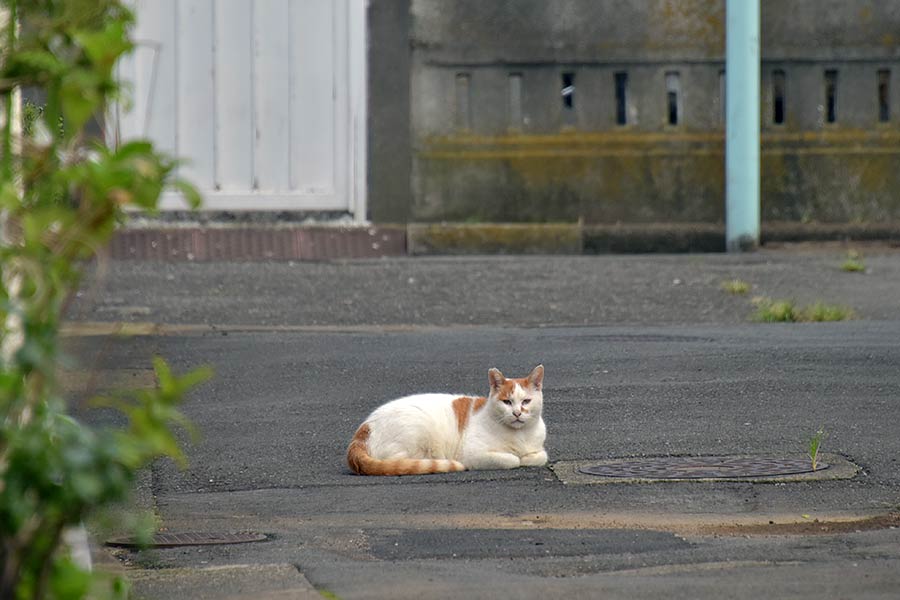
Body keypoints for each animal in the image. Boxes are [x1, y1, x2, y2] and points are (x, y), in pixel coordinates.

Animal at [346, 364, 548, 476]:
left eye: (526, 401)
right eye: (507, 402)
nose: (517, 413)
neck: (519, 436)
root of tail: (365, 427)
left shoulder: (539, 450)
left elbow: (540, 456)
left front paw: (527, 457)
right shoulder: (473, 454)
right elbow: (513, 460)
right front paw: (518, 458)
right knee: (398, 462)